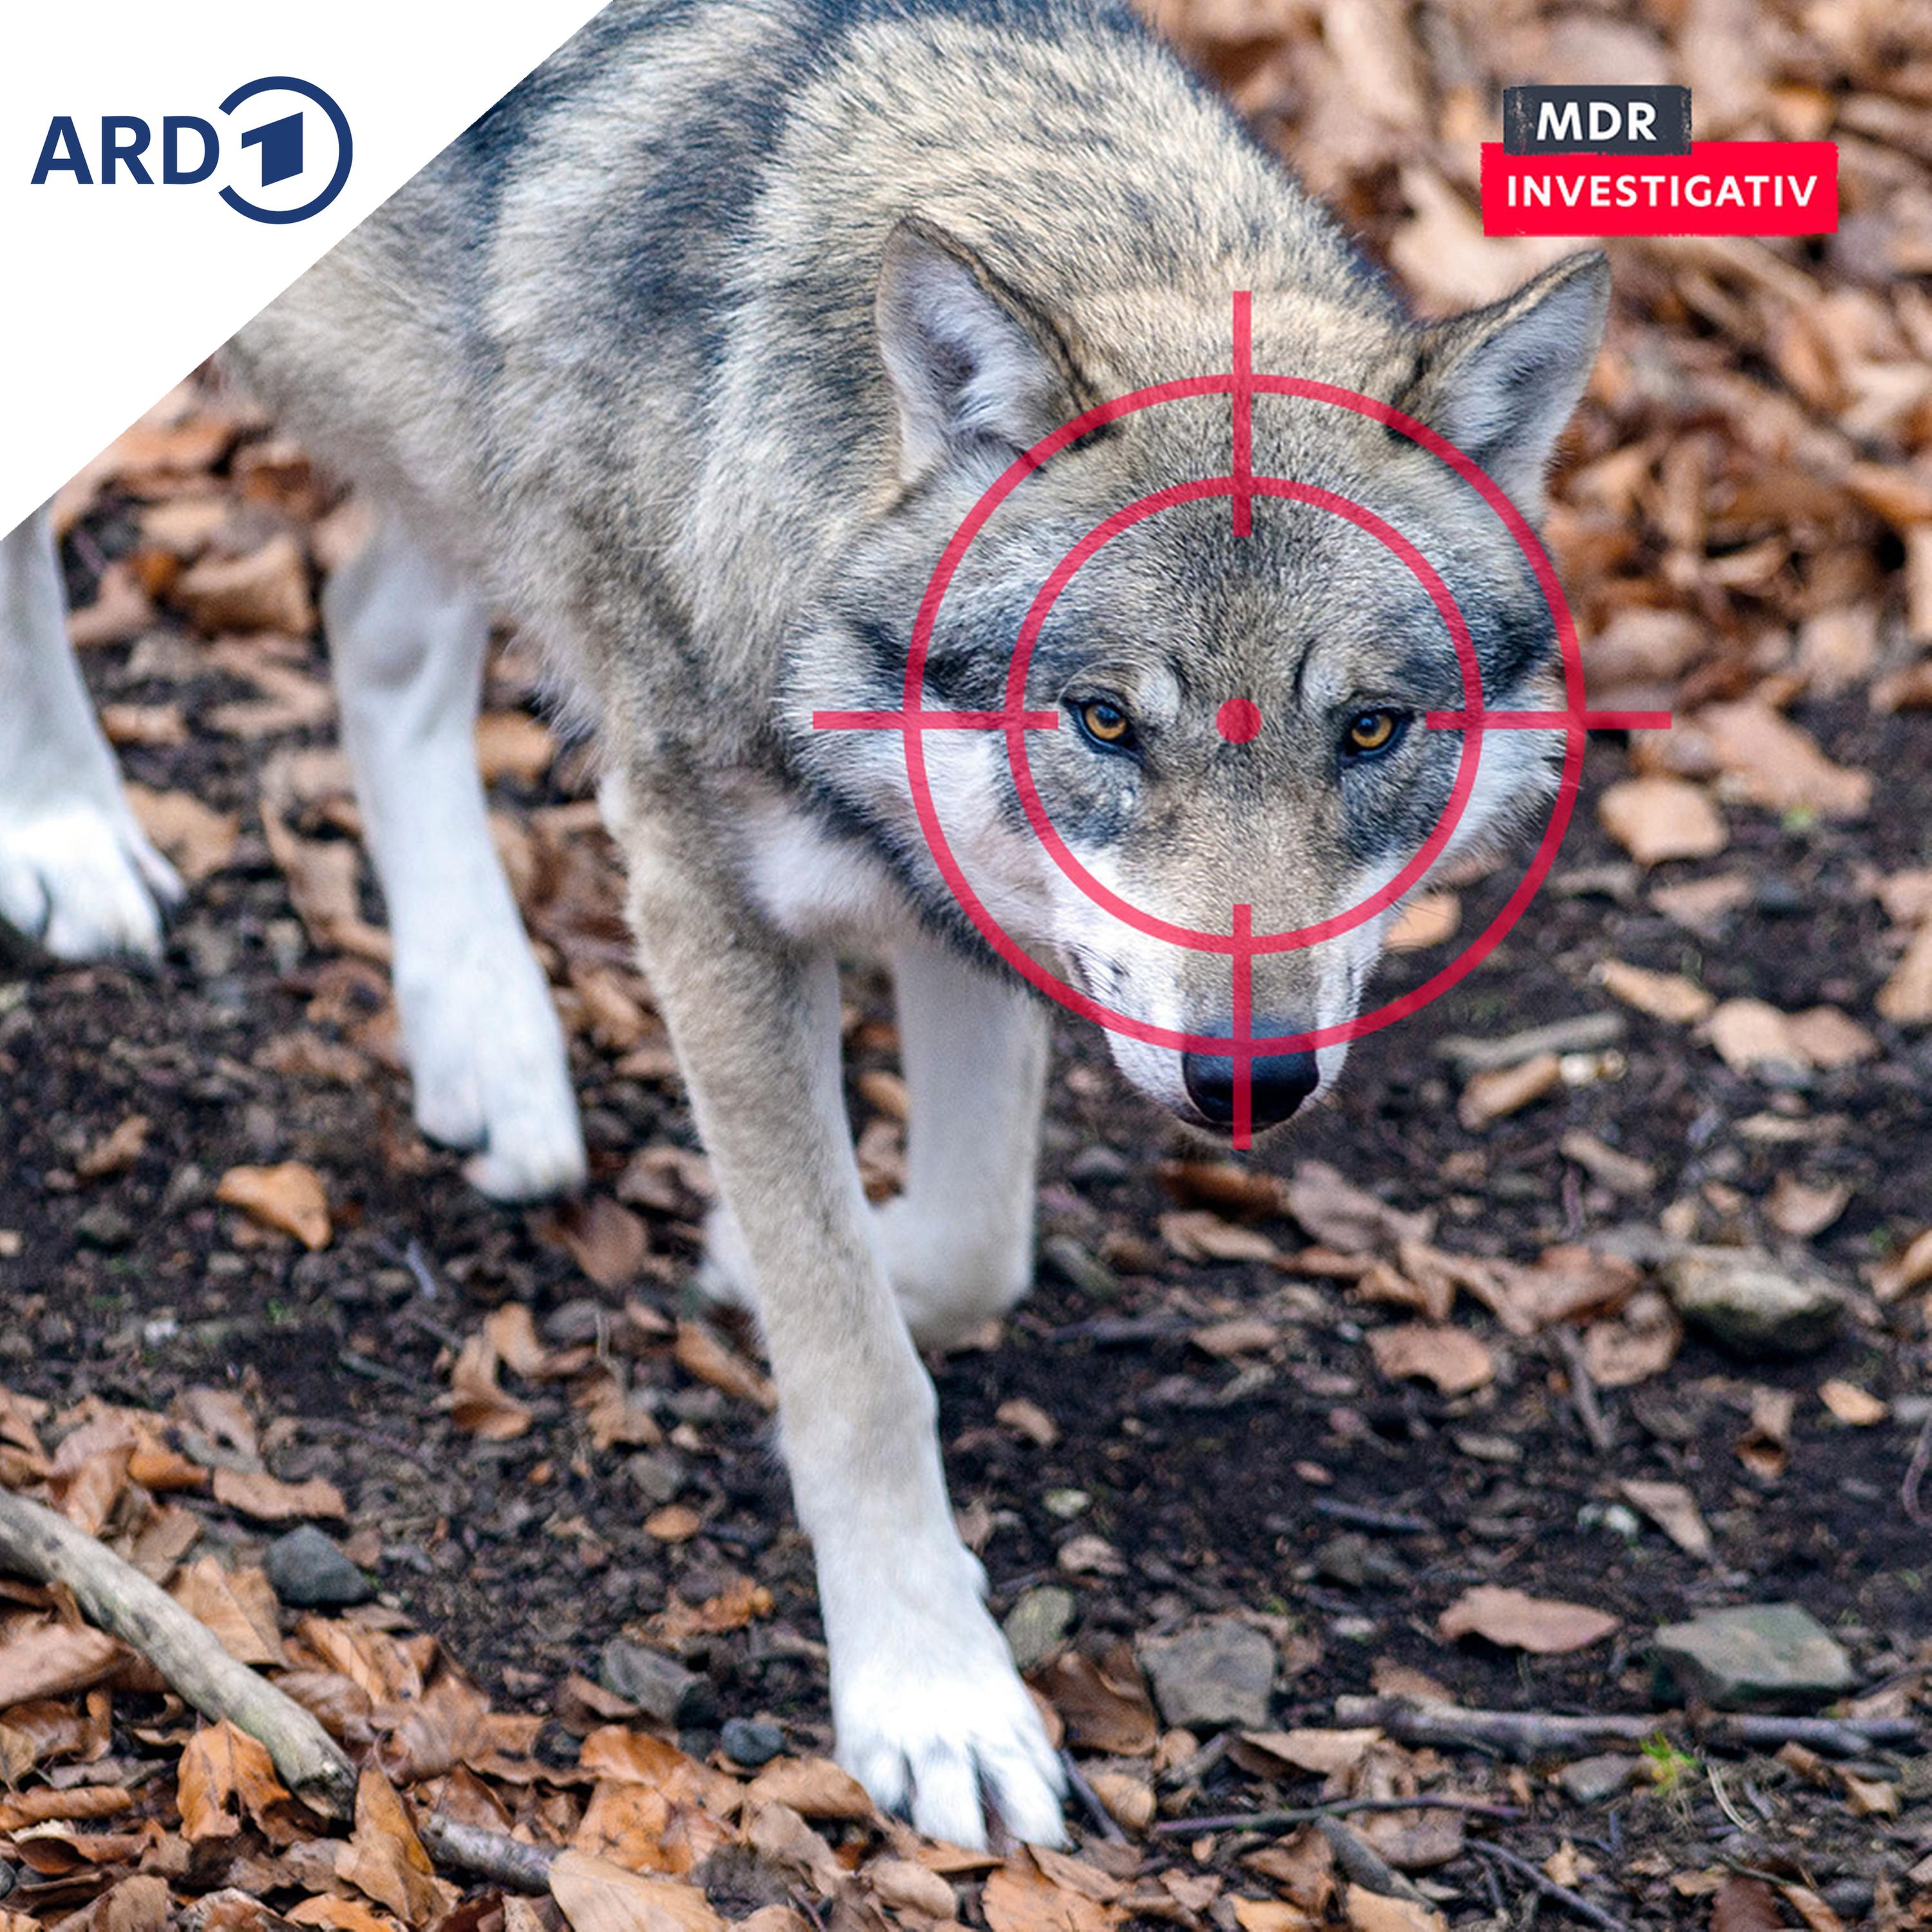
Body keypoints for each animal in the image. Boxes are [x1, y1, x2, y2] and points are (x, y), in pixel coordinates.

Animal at [1, 0, 1608, 1847]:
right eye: (1104, 720)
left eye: (1370, 730)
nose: (1250, 1084)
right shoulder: (706, 890)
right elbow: (854, 1365)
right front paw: (933, 1692)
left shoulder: (963, 898)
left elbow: (975, 1247)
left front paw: (791, 1253)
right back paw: (67, 829)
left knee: (370, 627)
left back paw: (490, 1048)